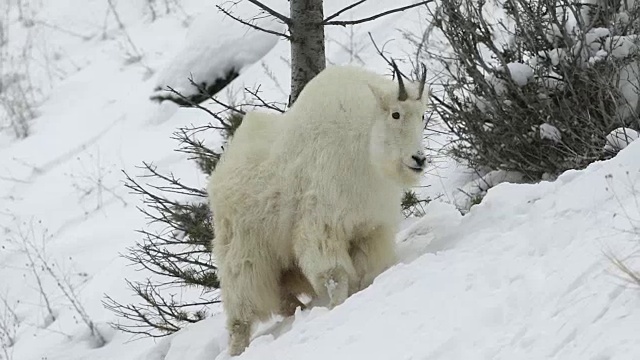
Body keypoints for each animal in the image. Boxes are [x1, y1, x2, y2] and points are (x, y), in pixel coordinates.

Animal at [209, 61, 430, 354]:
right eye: (396, 114)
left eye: (422, 115)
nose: (419, 159)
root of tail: (218, 177)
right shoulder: (322, 224)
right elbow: (334, 273)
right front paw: (337, 305)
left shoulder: (370, 227)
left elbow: (365, 268)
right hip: (245, 253)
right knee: (242, 309)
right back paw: (238, 346)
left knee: (283, 296)